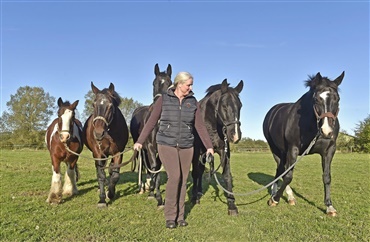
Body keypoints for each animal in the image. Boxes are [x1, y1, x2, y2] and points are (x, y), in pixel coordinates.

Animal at [130, 62, 172, 206]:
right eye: (154, 83)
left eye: (170, 83)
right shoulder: (150, 147)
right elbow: (153, 167)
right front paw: (152, 192)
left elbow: (157, 169)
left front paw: (158, 196)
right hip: (142, 148)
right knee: (144, 165)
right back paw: (144, 187)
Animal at [192, 79, 244, 216]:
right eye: (224, 106)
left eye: (240, 106)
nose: (235, 135)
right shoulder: (197, 152)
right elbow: (195, 173)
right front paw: (194, 198)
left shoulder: (224, 152)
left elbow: (227, 176)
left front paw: (232, 205)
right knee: (198, 172)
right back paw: (197, 193)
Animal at [264, 71, 344, 216]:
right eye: (316, 99)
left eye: (337, 98)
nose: (326, 131)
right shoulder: (293, 149)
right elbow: (288, 176)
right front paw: (275, 199)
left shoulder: (329, 150)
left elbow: (327, 177)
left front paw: (329, 207)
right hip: (276, 150)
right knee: (281, 170)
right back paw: (278, 195)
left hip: (283, 152)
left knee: (281, 170)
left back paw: (287, 196)